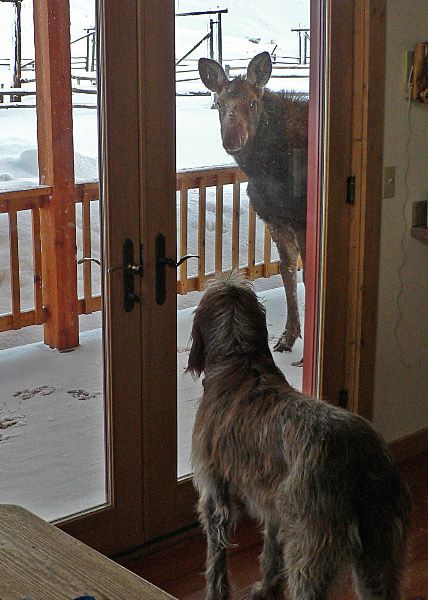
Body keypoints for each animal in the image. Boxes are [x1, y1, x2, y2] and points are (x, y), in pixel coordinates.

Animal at [187, 274, 412, 600]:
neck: (240, 360)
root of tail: (361, 458)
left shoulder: (215, 495)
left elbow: (216, 558)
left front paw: (216, 593)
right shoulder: (275, 508)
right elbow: (270, 552)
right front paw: (266, 588)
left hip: (310, 552)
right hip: (378, 555)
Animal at [197, 52, 308, 352]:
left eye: (252, 103)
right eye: (219, 103)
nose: (232, 139)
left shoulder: (302, 219)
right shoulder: (276, 220)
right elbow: (287, 272)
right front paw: (288, 337)